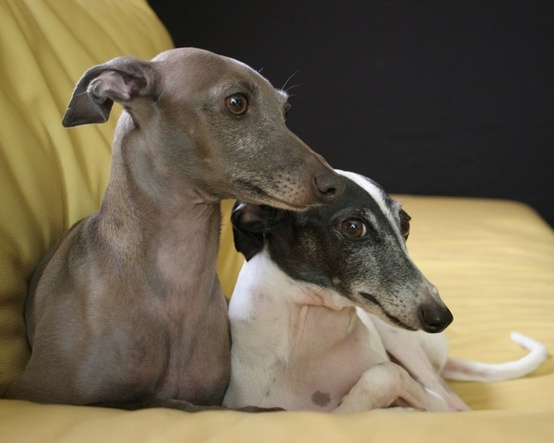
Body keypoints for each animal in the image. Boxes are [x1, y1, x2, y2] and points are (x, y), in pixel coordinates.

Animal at [222, 169, 544, 412]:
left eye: (406, 224)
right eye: (353, 227)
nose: (442, 317)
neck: (311, 339)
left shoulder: (429, 400)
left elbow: (385, 374)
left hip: (400, 340)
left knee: (454, 401)